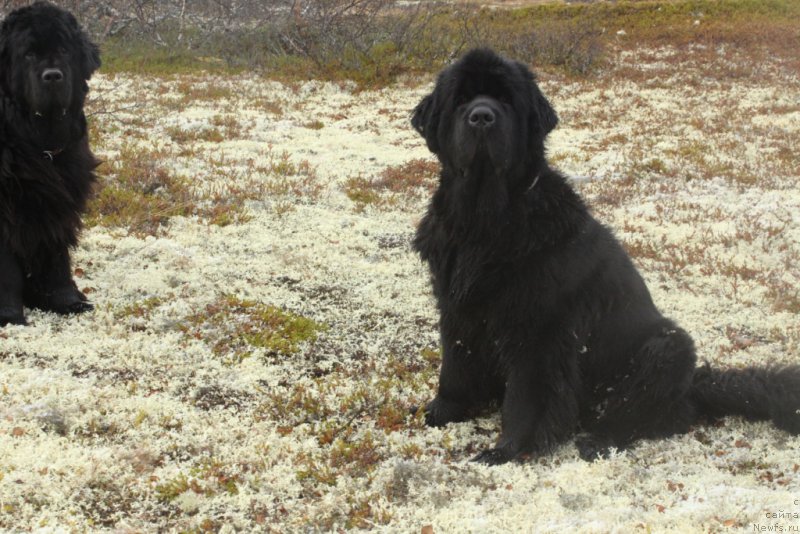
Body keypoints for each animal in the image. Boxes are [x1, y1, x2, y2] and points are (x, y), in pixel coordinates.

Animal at [0, 1, 100, 326]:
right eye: (29, 54)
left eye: (65, 51)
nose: (53, 76)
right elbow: (7, 269)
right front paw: (9, 315)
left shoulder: (57, 203)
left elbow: (56, 257)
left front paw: (68, 301)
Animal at [412, 48, 800, 466]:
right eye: (461, 100)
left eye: (506, 101)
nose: (482, 116)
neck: (484, 221)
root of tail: (694, 387)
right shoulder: (457, 308)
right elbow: (455, 366)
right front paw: (441, 411)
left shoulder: (539, 330)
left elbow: (526, 397)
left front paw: (507, 449)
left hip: (667, 348)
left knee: (645, 414)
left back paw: (599, 440)